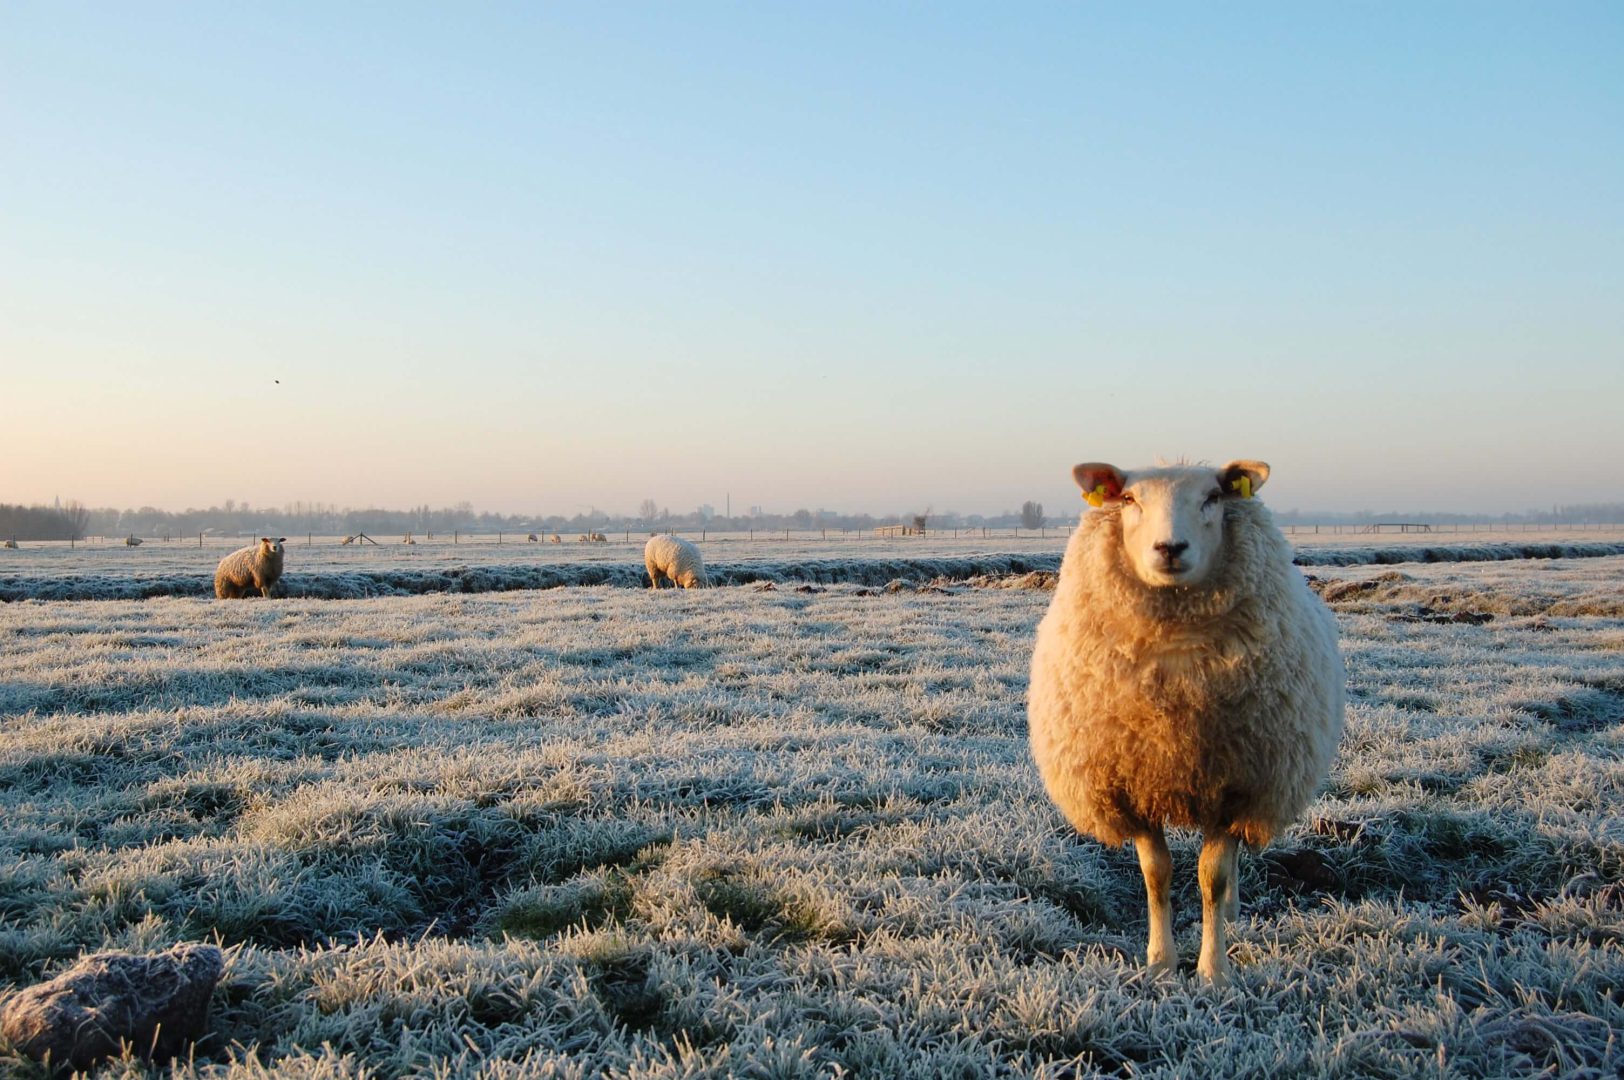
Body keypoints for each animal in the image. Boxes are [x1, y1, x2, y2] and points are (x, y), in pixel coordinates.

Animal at [1026, 457, 1344, 980]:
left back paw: (1232, 915)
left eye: (1213, 497)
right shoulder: (1131, 787)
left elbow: (1212, 878)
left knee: (1233, 864)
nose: (1170, 548)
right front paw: (1161, 962)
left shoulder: (1237, 787)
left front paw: (1213, 971)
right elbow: (1157, 876)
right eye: (1129, 499)